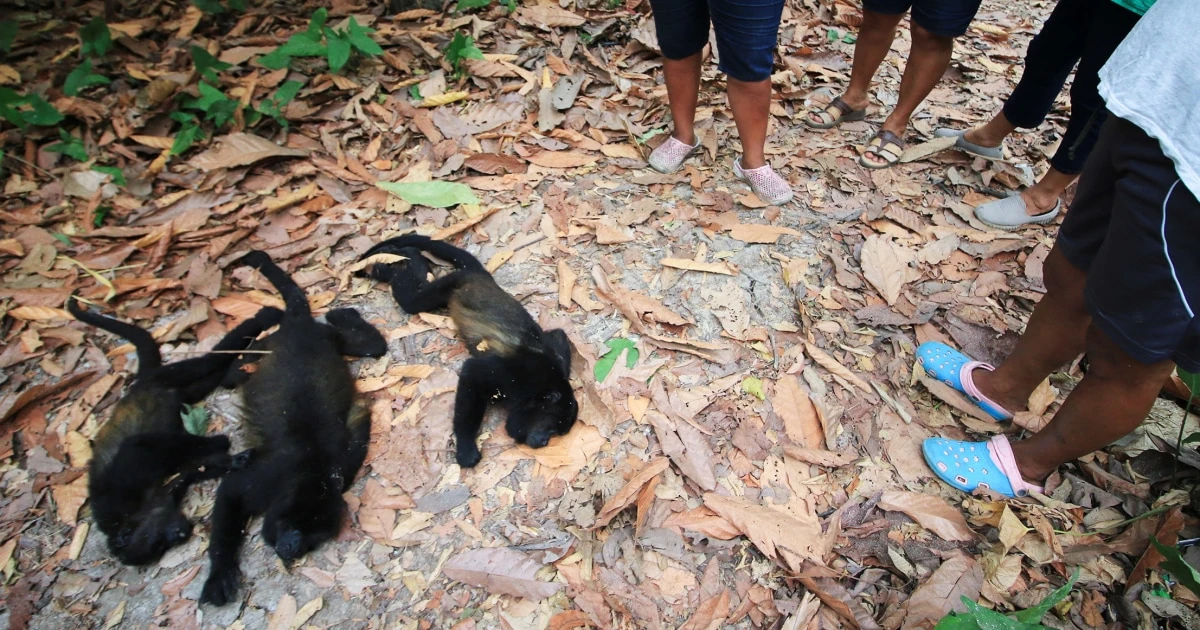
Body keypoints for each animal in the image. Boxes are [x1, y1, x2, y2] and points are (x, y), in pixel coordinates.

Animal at [67, 295, 284, 566]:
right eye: (159, 547)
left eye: (154, 540)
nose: (180, 534)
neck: (131, 514)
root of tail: (139, 383)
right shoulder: (164, 496)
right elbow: (189, 473)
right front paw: (234, 461)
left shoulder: (123, 480)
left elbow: (138, 445)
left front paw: (219, 442)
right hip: (177, 391)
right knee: (209, 378)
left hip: (165, 377)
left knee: (205, 363)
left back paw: (262, 320)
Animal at [200, 250, 387, 607]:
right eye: (297, 527)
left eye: (315, 537)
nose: (292, 548)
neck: (308, 471)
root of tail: (299, 326)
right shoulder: (267, 479)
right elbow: (229, 491)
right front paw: (219, 574)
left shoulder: (340, 468)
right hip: (274, 343)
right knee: (234, 375)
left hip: (329, 339)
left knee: (371, 346)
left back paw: (344, 314)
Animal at [355, 234, 578, 469]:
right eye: (552, 427)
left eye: (555, 433)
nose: (544, 441)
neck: (541, 387)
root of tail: (483, 277)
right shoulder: (514, 375)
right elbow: (473, 372)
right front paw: (466, 448)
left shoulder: (553, 355)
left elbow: (558, 335)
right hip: (454, 282)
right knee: (412, 301)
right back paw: (390, 268)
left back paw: (411, 257)